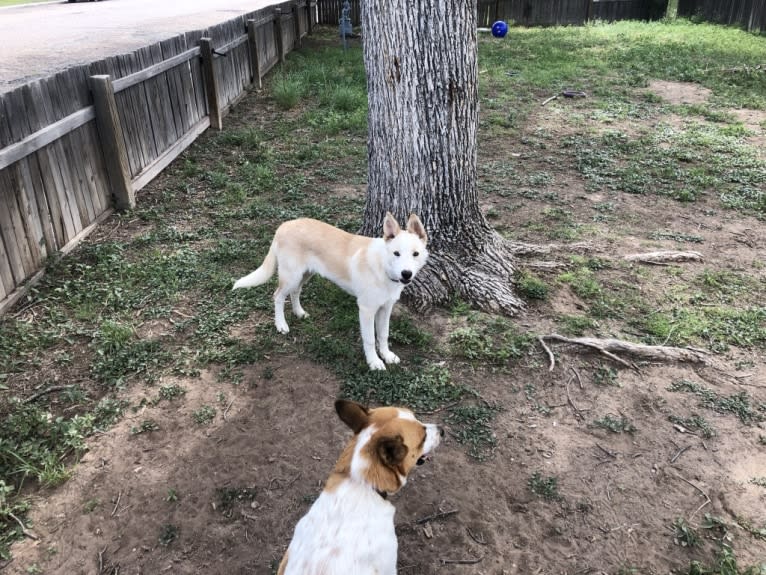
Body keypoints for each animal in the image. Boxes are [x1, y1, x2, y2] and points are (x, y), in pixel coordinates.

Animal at [231, 214, 428, 372]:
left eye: (415, 254)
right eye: (396, 253)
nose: (406, 274)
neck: (382, 267)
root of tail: (285, 225)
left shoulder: (386, 308)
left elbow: (383, 334)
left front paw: (387, 355)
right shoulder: (366, 310)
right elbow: (370, 339)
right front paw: (374, 362)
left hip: (305, 275)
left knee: (296, 292)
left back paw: (299, 312)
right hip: (291, 276)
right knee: (277, 296)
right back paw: (281, 324)